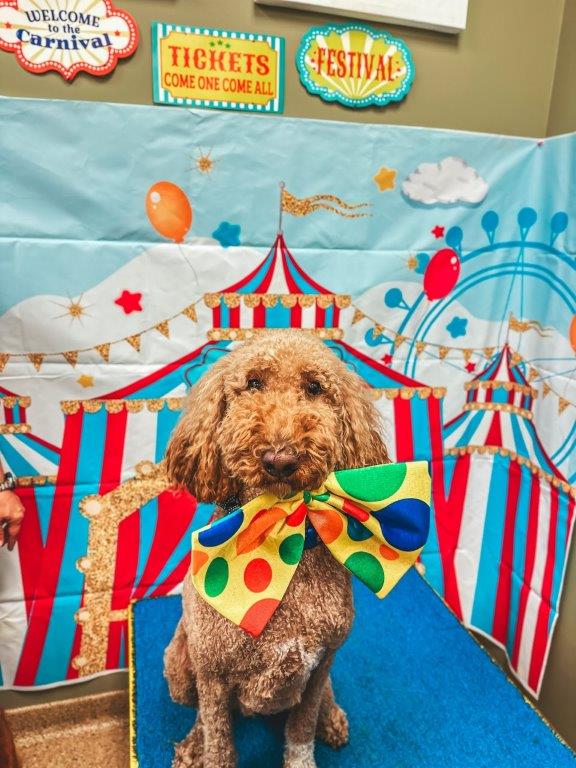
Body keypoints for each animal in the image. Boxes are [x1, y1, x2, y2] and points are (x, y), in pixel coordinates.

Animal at [163, 330, 388, 768]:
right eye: (253, 383)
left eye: (314, 388)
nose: (280, 458)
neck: (284, 534)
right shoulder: (213, 674)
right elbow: (219, 741)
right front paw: (207, 748)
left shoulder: (319, 665)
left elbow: (301, 732)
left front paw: (311, 740)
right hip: (181, 664)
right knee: (198, 712)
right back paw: (193, 744)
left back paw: (331, 718)